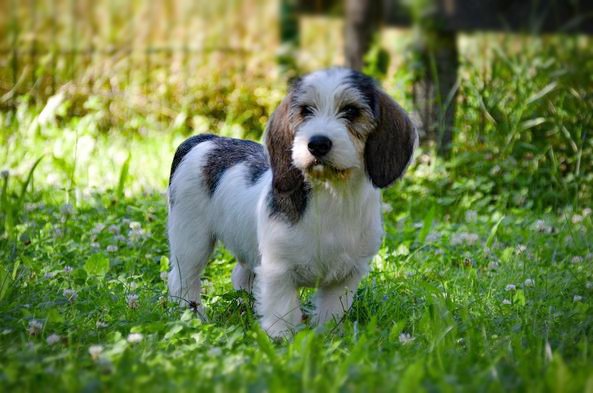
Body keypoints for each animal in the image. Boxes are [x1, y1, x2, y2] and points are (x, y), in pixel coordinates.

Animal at [166, 67, 416, 336]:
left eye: (351, 111)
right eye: (306, 110)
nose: (317, 144)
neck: (331, 196)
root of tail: (202, 140)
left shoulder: (345, 278)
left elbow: (331, 314)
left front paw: (328, 337)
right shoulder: (278, 272)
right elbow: (282, 314)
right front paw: (281, 340)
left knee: (240, 275)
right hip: (191, 241)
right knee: (183, 279)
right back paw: (191, 317)